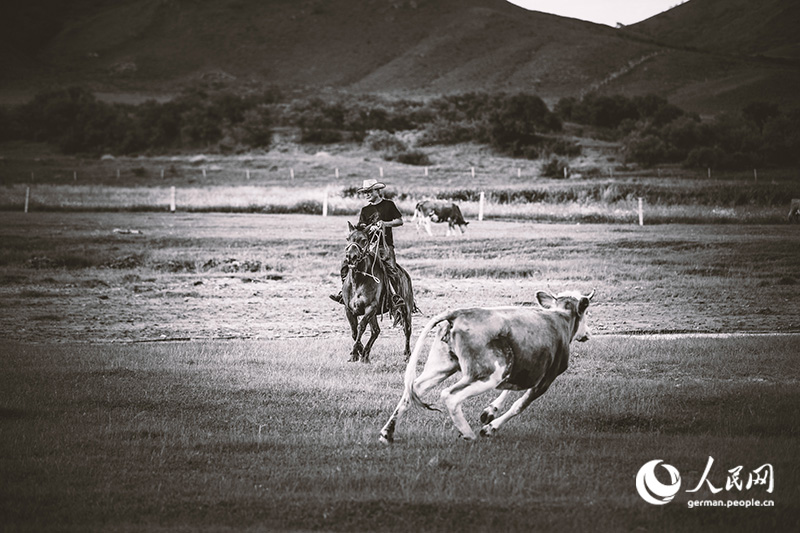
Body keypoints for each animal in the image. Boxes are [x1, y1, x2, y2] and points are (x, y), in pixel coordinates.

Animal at [340, 221, 416, 362]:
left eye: (364, 240)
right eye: (348, 238)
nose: (351, 257)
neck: (358, 280)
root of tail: (406, 275)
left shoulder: (370, 308)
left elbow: (360, 327)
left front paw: (354, 352)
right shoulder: (349, 309)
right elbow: (354, 331)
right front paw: (357, 353)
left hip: (406, 310)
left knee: (407, 330)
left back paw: (407, 355)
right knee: (376, 331)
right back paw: (365, 355)